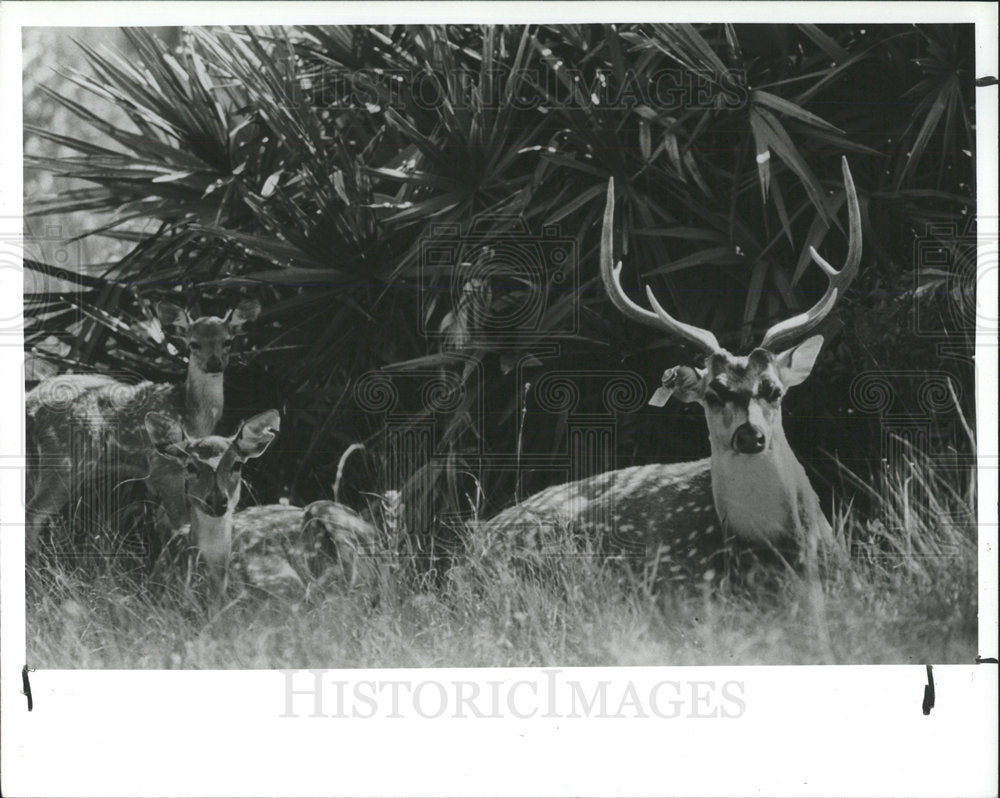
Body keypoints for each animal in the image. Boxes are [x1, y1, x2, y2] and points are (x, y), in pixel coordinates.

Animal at [24, 299, 261, 554]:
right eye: (193, 343)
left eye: (227, 341)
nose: (214, 363)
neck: (193, 415)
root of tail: (32, 406)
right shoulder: (165, 469)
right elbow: (181, 522)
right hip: (65, 458)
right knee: (33, 514)